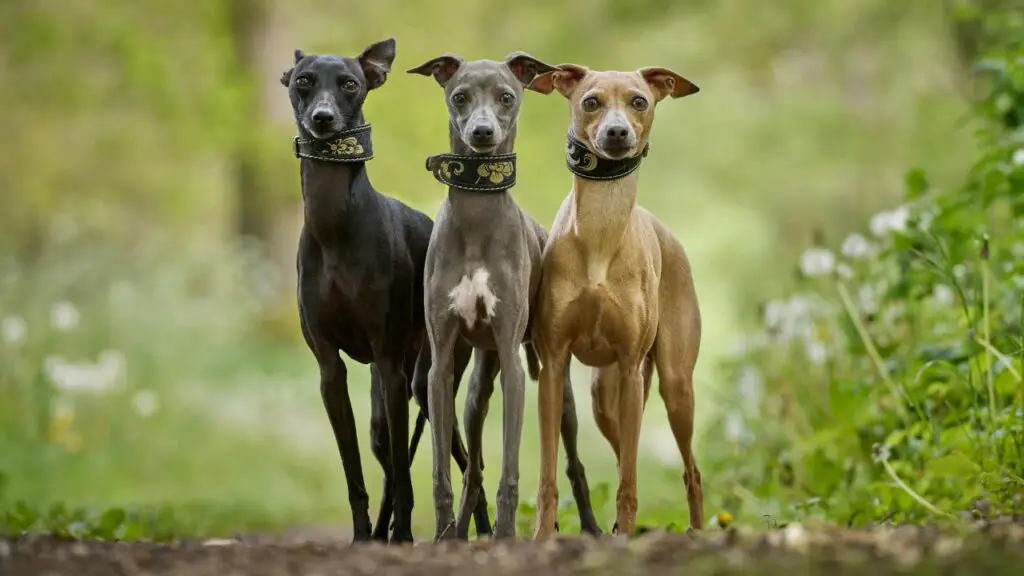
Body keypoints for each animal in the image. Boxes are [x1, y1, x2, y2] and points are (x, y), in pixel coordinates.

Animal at [278, 38, 489, 541]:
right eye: (303, 81)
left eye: (350, 84)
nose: (322, 119)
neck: (334, 226)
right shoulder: (330, 368)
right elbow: (358, 469)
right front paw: (363, 535)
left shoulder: (391, 364)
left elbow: (407, 469)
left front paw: (404, 534)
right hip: (391, 392)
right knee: (391, 456)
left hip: (428, 380)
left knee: (464, 461)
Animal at [403, 52, 602, 537]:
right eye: (459, 97)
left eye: (506, 97)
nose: (481, 133)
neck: (476, 216)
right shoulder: (440, 367)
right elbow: (442, 471)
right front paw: (443, 535)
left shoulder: (513, 363)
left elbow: (511, 469)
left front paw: (508, 533)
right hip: (476, 386)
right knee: (473, 467)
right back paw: (464, 530)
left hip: (557, 392)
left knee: (574, 464)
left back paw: (589, 527)